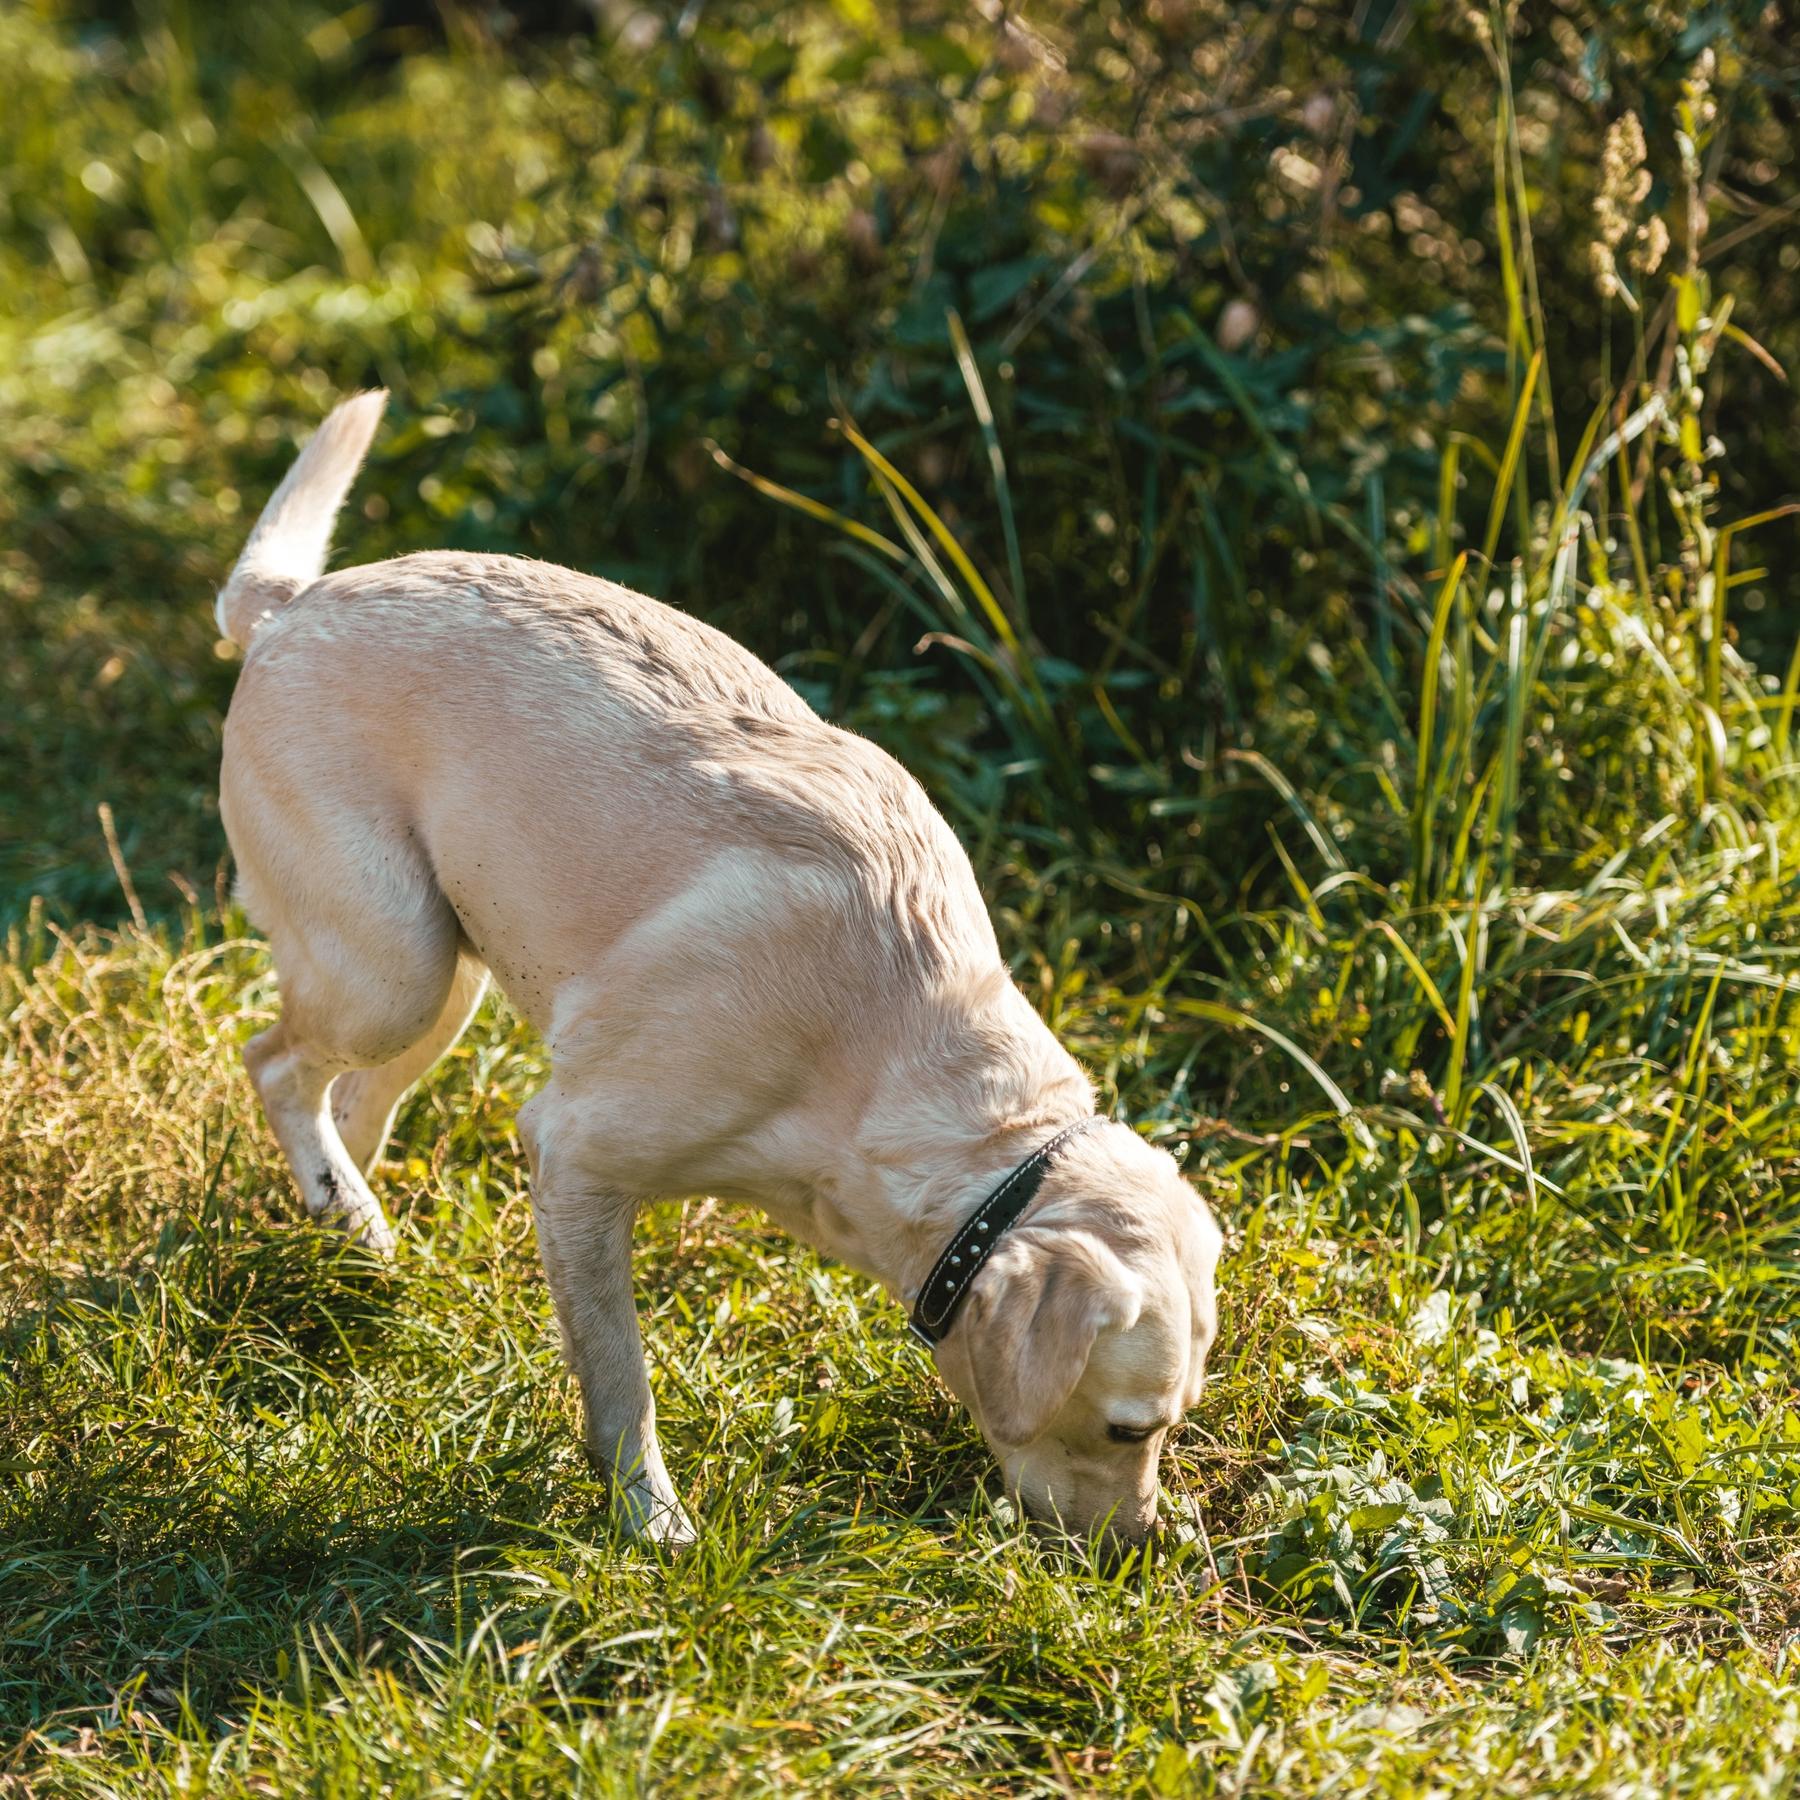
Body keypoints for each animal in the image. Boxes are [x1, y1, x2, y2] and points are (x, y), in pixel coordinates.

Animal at [214, 394, 1224, 1548]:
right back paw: (348, 1212)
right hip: (393, 969)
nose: (1139, 1552)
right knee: (277, 1065)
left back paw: (354, 1228)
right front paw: (649, 1522)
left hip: (439, 974)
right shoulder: (573, 1156)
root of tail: (293, 606)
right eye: (1127, 1428)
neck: (884, 1052)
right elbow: (621, 1378)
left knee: (346, 1101)